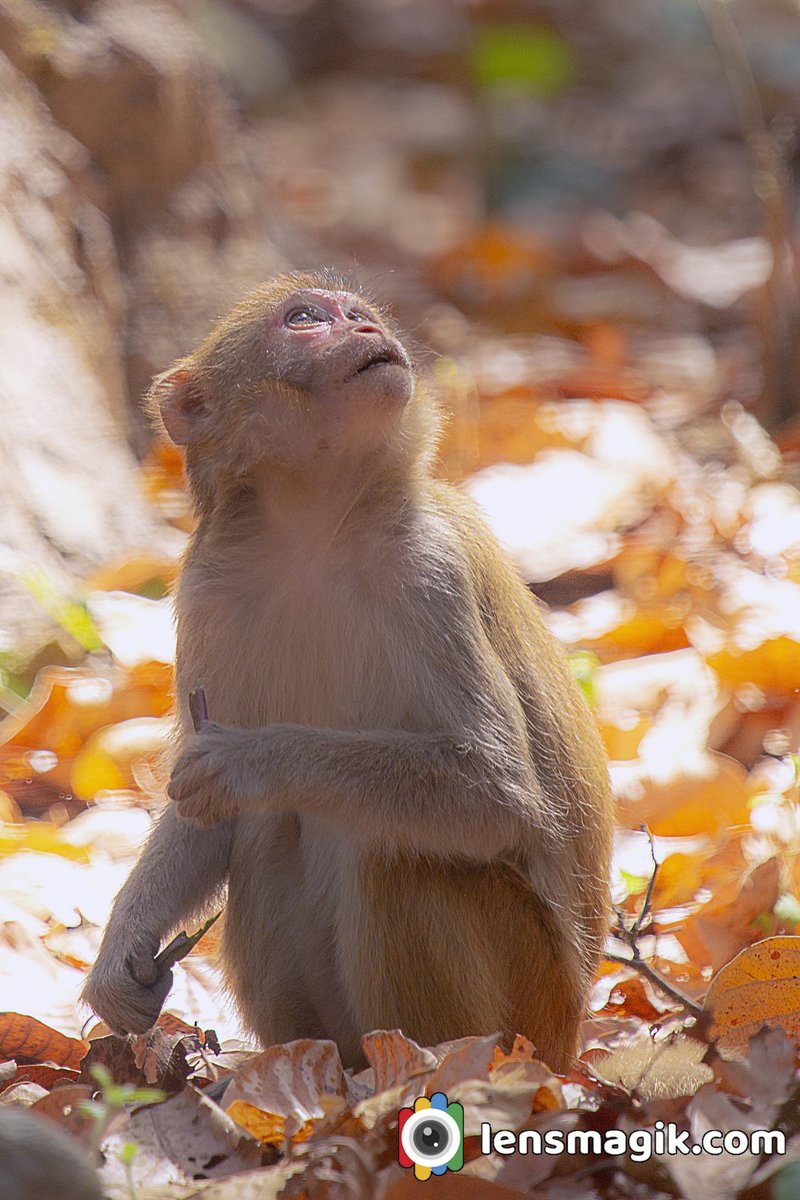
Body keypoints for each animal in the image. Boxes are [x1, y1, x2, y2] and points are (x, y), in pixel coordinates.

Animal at [81, 270, 613, 1072]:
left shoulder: (430, 574)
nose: (368, 331)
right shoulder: (206, 588)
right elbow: (204, 819)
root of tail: (572, 1038)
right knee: (269, 834)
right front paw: (121, 957)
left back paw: (425, 1070)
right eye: (305, 319)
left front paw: (254, 759)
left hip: (536, 998)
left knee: (391, 852)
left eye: (358, 314)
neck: (317, 528)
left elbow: (496, 792)